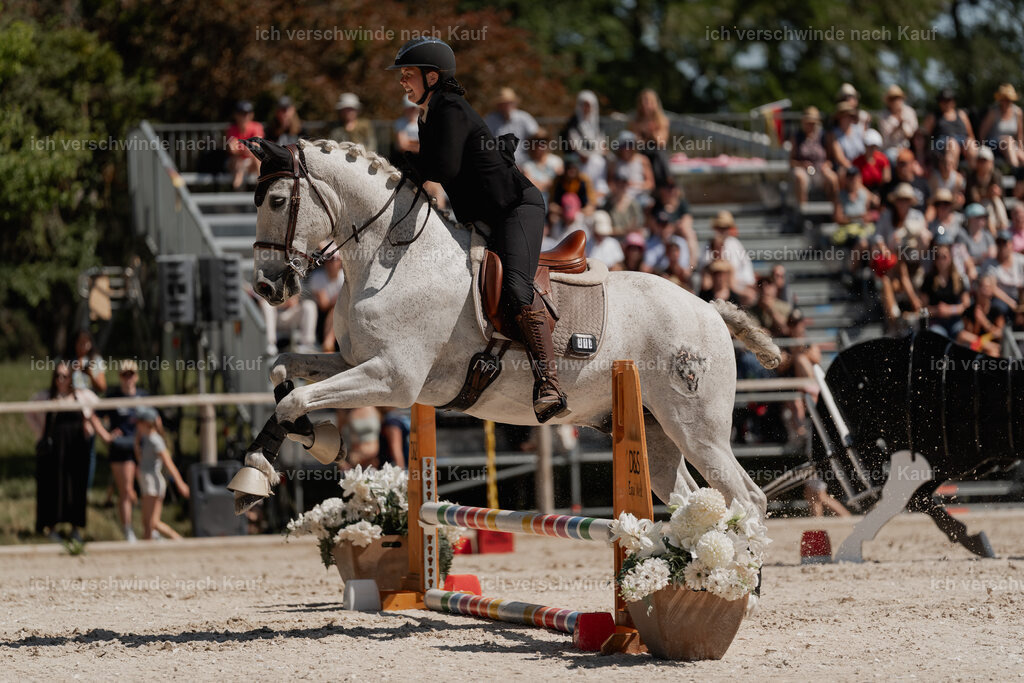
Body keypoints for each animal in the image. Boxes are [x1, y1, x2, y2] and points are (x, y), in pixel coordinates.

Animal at [232, 137, 780, 520]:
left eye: (276, 201)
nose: (266, 285)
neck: (394, 259)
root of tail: (708, 308)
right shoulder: (354, 362)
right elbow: (283, 373)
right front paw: (284, 453)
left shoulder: (391, 377)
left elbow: (295, 399)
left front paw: (271, 463)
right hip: (658, 431)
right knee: (692, 498)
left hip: (697, 426)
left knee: (746, 497)